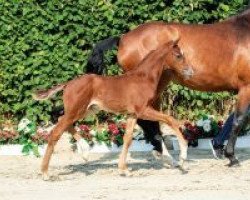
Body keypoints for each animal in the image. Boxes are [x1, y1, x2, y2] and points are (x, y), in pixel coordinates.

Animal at [34, 40, 192, 180]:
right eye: (178, 55)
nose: (190, 71)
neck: (143, 78)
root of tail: (68, 84)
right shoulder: (143, 110)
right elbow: (171, 120)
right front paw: (183, 157)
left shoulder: (133, 114)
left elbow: (127, 139)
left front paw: (124, 170)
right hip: (77, 110)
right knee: (56, 132)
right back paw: (45, 173)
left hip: (87, 110)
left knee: (62, 121)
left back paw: (85, 152)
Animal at [87, 7, 250, 166]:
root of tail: (123, 38)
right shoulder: (246, 87)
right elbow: (239, 120)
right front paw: (232, 157)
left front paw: (220, 149)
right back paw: (164, 151)